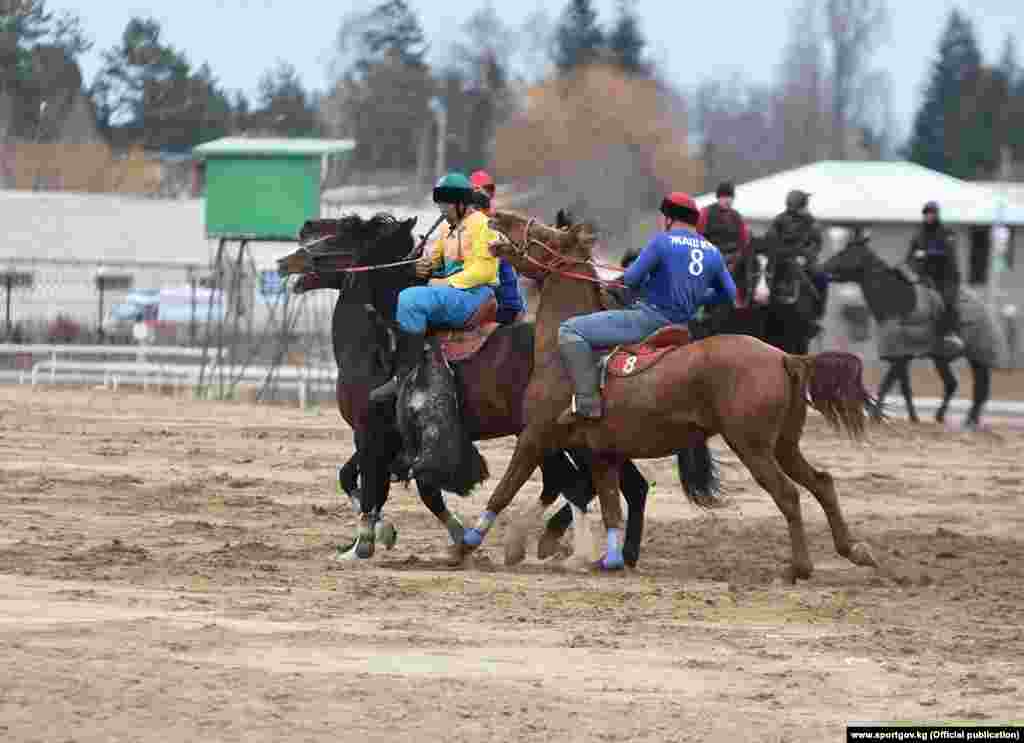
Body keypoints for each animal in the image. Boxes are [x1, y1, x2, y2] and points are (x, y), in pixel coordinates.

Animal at [276, 212, 651, 569]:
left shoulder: (372, 433)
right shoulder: (391, 438)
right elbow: (364, 480)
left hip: (556, 437)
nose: (290, 254)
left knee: (575, 484)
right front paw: (381, 536)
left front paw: (367, 543)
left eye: (345, 229)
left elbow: (381, 487)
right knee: (606, 484)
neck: (380, 342)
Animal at [460, 212, 884, 585]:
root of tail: (784, 357)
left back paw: (797, 568)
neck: (558, 354)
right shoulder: (600, 451)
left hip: (753, 446)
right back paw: (854, 550)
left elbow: (505, 489)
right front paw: (609, 559)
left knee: (789, 495)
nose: (498, 216)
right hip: (784, 444)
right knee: (821, 483)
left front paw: (464, 547)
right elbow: (610, 505)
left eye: (545, 235)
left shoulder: (534, 436)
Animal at [823, 233, 999, 429]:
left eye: (845, 252)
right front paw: (911, 418)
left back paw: (969, 421)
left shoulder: (900, 356)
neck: (899, 299)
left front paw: (877, 416)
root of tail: (985, 311)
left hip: (977, 358)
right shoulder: (901, 356)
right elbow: (903, 387)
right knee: (955, 385)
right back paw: (946, 417)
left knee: (980, 389)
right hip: (941, 359)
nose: (823, 267)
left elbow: (887, 384)